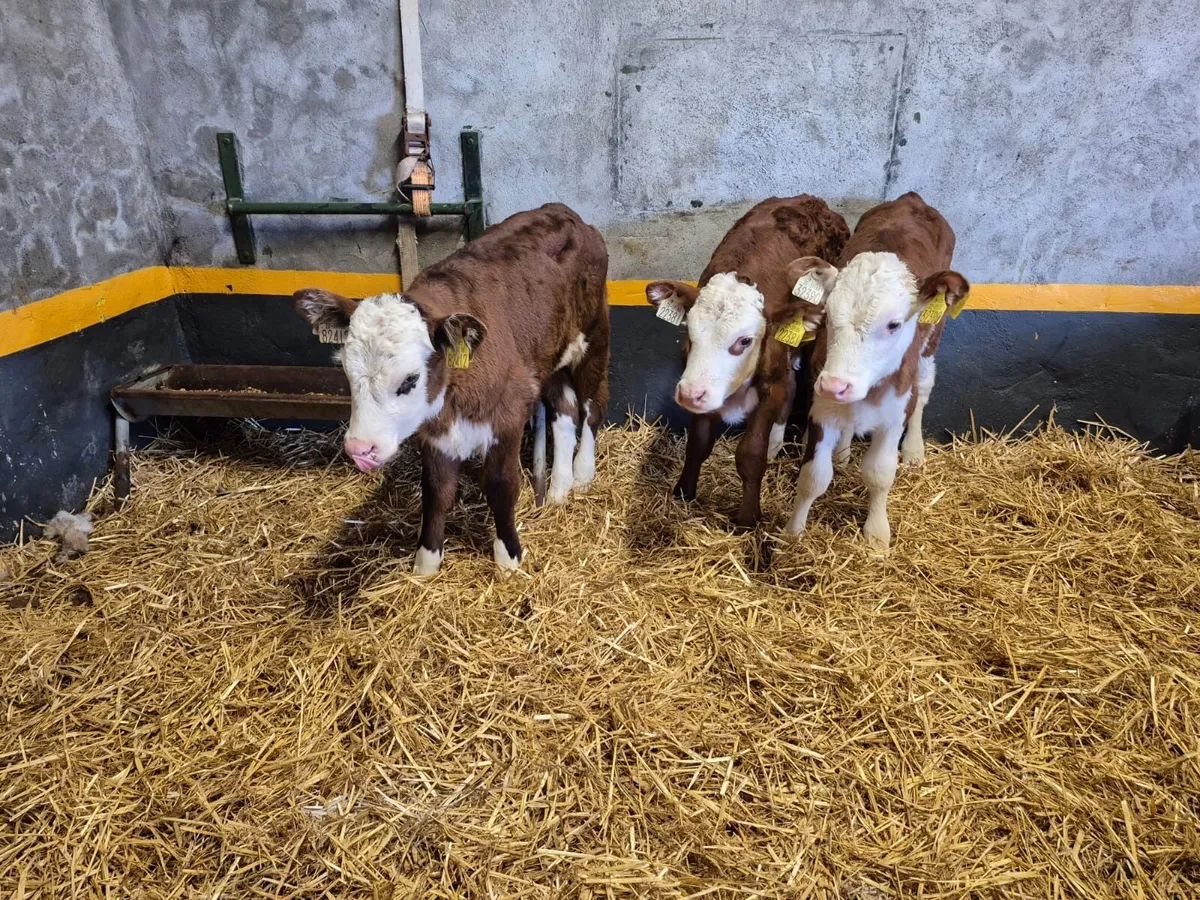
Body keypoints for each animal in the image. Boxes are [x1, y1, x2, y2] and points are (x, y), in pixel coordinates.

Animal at [293, 203, 610, 575]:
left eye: (410, 379)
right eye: (346, 371)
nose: (360, 449)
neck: (455, 397)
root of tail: (562, 210)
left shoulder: (508, 415)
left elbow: (501, 486)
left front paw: (508, 557)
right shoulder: (435, 432)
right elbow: (436, 490)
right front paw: (426, 563)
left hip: (595, 337)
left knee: (591, 405)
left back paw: (583, 473)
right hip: (551, 354)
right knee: (564, 412)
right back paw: (560, 486)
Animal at [644, 196, 850, 527]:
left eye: (744, 341)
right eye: (690, 332)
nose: (688, 394)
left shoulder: (769, 386)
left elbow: (751, 454)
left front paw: (748, 518)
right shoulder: (708, 388)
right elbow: (698, 443)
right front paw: (684, 491)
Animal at [785, 191, 969, 549]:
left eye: (894, 324)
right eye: (827, 314)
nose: (836, 385)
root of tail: (911, 199)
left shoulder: (894, 414)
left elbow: (880, 474)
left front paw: (876, 534)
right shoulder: (822, 407)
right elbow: (814, 477)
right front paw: (793, 533)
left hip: (932, 339)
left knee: (925, 384)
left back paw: (914, 450)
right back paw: (843, 452)